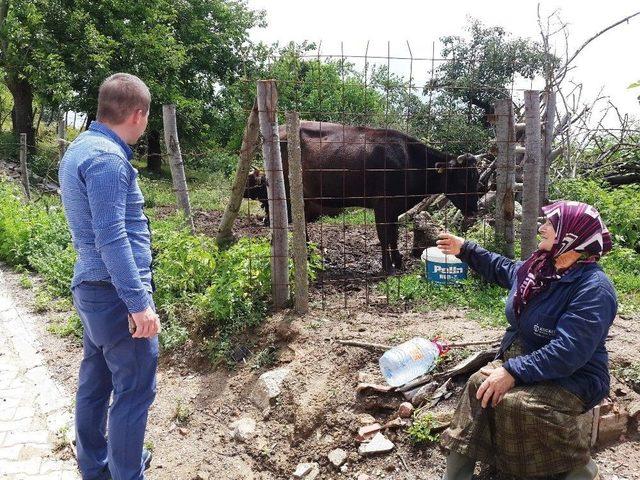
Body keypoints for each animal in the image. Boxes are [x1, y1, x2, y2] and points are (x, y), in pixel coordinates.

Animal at [244, 120, 480, 274]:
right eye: (462, 180)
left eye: (476, 178)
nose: (474, 210)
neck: (409, 161)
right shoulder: (382, 205)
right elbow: (385, 236)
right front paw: (387, 267)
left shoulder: (394, 207)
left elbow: (394, 235)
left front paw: (398, 261)